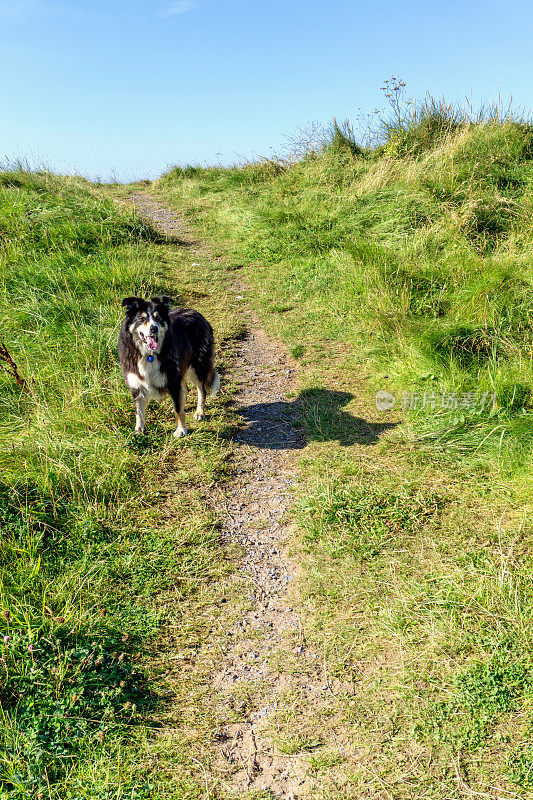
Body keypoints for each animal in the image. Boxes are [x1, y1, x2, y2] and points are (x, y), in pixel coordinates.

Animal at [119, 296, 220, 438]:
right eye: (141, 318)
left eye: (158, 318)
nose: (154, 329)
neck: (149, 355)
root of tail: (197, 313)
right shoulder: (136, 384)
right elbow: (139, 412)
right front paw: (138, 431)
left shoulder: (172, 380)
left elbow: (178, 410)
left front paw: (181, 430)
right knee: (185, 388)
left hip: (197, 366)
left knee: (202, 390)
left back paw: (200, 412)